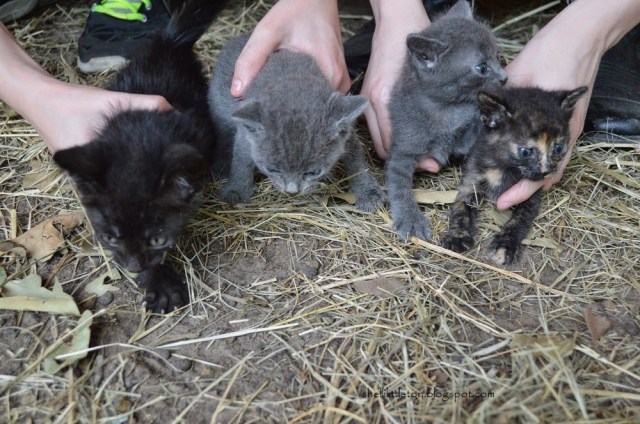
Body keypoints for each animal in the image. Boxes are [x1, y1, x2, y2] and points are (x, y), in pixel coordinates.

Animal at [53, 0, 229, 312]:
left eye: (158, 238)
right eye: (109, 237)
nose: (133, 268)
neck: (140, 133)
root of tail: (167, 41)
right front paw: (160, 282)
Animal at [208, 34, 385, 212]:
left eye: (313, 172)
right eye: (272, 170)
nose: (292, 191)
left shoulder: (346, 133)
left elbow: (356, 158)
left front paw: (367, 191)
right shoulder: (246, 135)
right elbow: (241, 159)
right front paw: (236, 189)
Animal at [385, 0, 507, 242]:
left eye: (498, 56)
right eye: (482, 67)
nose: (504, 78)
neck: (446, 109)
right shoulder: (403, 148)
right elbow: (398, 182)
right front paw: (410, 217)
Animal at [441, 86, 588, 265]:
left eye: (558, 148)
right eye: (525, 152)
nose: (546, 171)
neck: (503, 168)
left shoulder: (530, 196)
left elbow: (519, 220)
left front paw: (505, 244)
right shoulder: (471, 181)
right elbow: (461, 208)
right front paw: (457, 236)